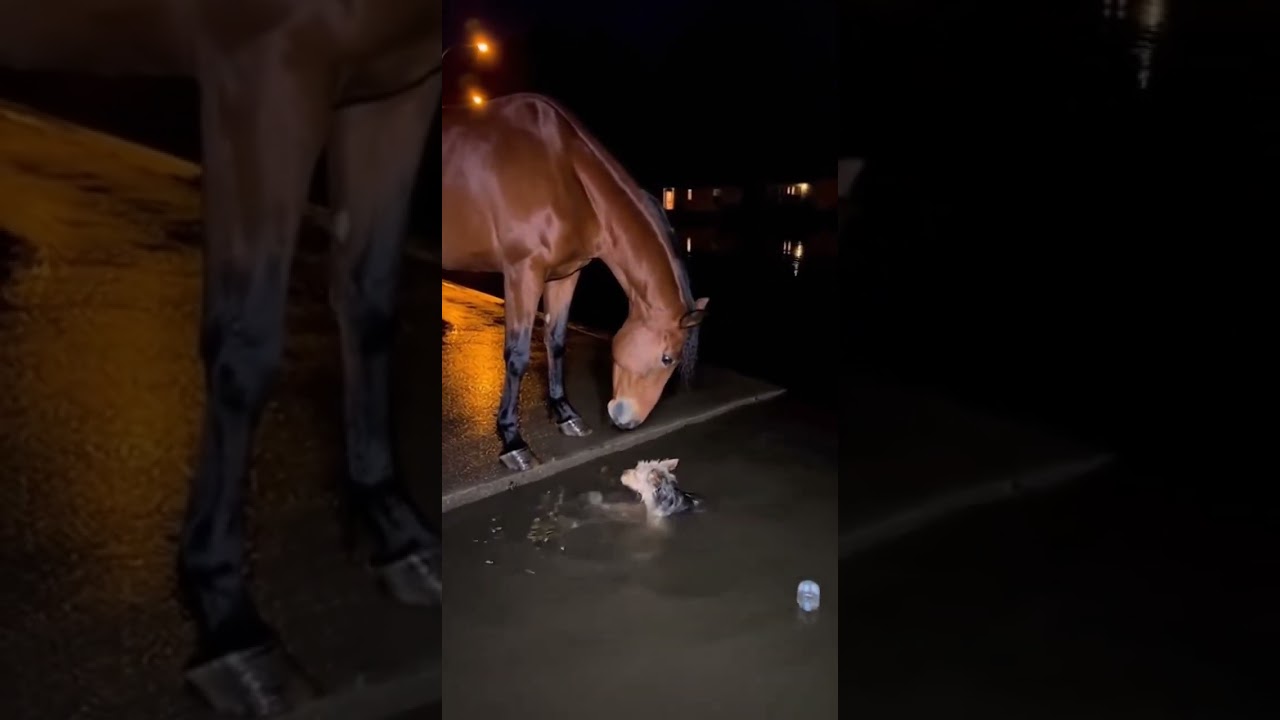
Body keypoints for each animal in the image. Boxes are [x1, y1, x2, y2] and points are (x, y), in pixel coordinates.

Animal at [1, 1, 444, 715]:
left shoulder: (397, 85)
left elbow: (370, 300)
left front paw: (394, 525)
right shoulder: (264, 70)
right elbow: (246, 343)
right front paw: (227, 613)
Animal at [440, 93, 710, 471]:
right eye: (667, 359)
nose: (627, 420)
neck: (564, 168)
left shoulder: (566, 274)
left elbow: (556, 341)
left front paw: (565, 414)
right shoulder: (523, 273)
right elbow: (517, 355)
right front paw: (512, 440)